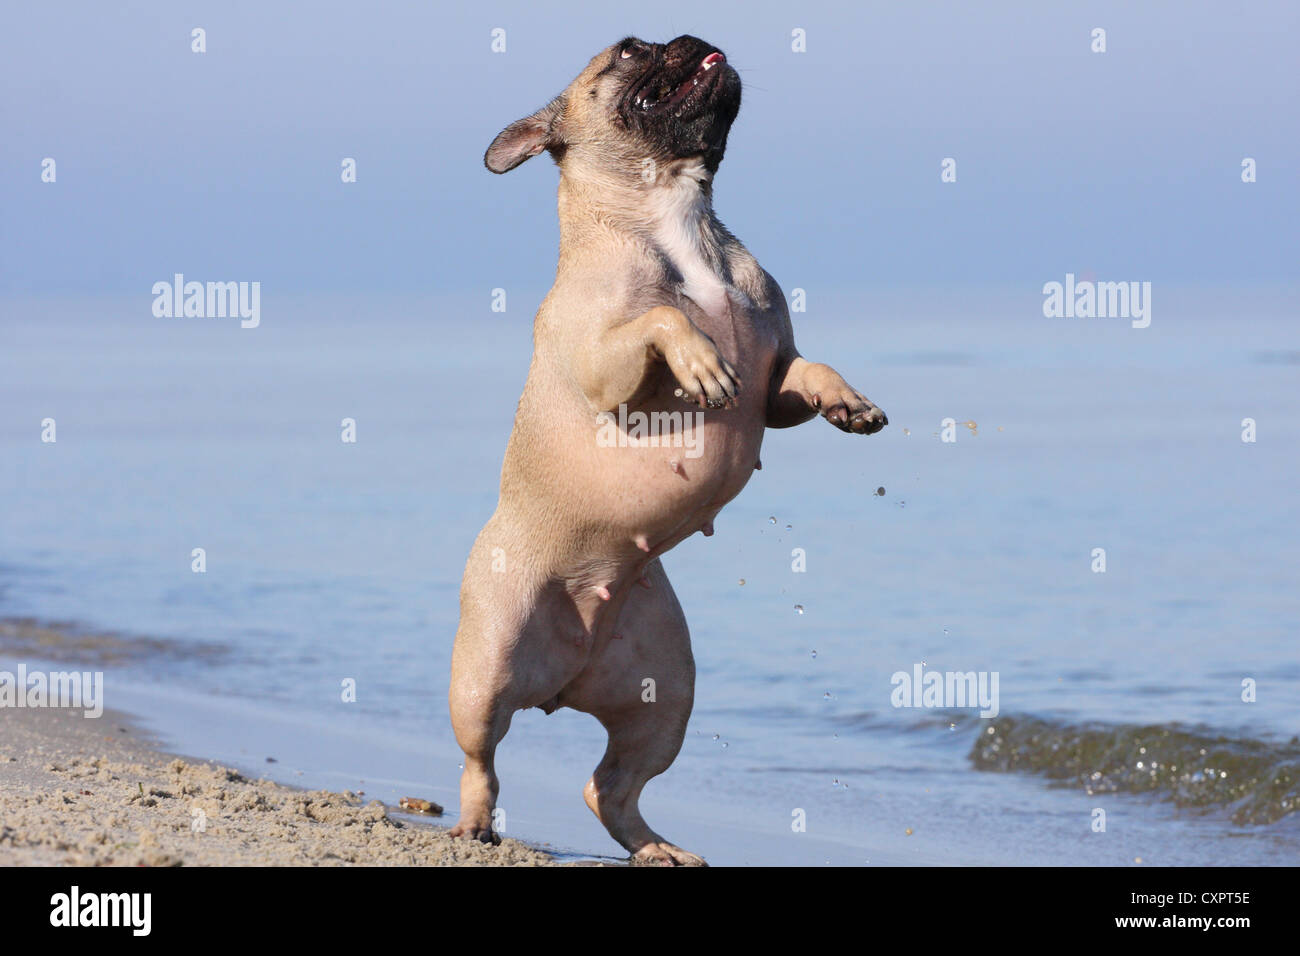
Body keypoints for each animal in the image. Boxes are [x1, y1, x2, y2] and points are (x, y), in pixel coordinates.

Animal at [452, 35, 889, 868]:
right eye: (629, 53)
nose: (686, 38)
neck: (676, 216)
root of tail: (566, 679)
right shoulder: (605, 370)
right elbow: (661, 320)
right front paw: (701, 362)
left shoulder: (776, 377)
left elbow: (805, 370)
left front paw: (848, 399)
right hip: (487, 666)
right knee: (482, 757)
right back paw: (474, 823)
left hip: (666, 694)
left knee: (610, 788)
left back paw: (657, 847)